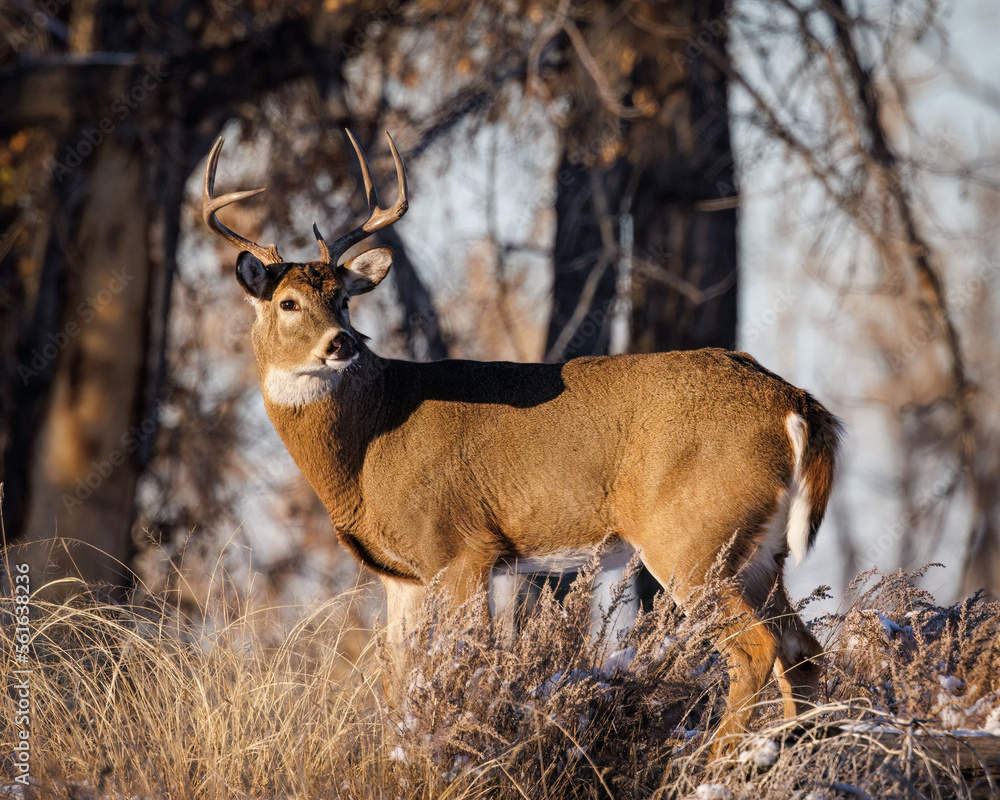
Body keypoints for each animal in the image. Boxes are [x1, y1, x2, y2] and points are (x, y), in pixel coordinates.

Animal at [205, 128, 844, 752]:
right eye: (288, 302)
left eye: (342, 299)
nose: (341, 343)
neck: (367, 446)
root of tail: (794, 402)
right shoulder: (402, 575)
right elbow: (397, 686)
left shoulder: (460, 546)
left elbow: (462, 669)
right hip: (757, 550)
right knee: (803, 652)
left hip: (691, 535)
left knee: (757, 649)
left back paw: (718, 762)